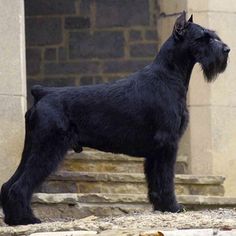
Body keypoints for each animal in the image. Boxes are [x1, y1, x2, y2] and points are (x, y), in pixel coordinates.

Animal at [0, 11, 229, 225]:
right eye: (203, 38)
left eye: (213, 35)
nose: (226, 50)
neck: (169, 75)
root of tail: (43, 92)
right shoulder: (168, 144)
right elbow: (166, 180)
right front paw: (173, 207)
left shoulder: (155, 151)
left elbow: (155, 181)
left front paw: (161, 207)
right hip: (47, 148)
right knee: (20, 185)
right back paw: (26, 219)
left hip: (32, 147)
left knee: (9, 184)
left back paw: (13, 219)